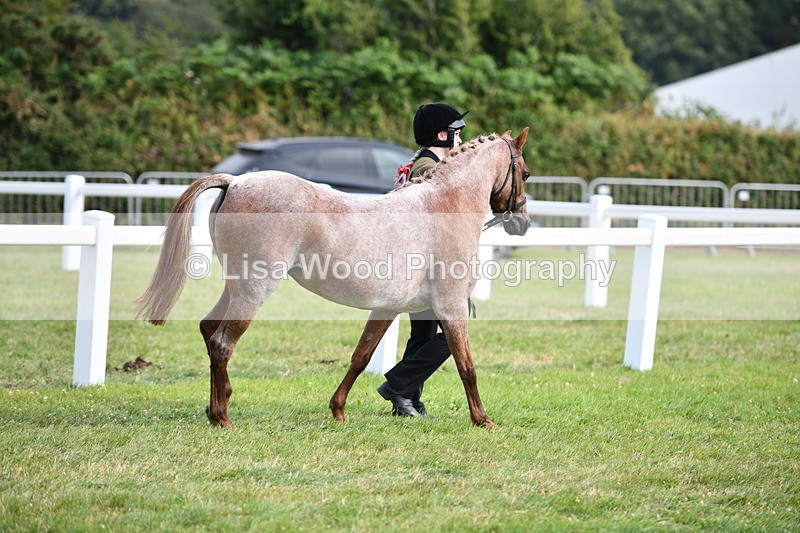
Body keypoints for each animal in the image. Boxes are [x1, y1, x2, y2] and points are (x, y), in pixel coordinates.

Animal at [135, 128, 531, 428]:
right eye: (525, 174)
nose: (523, 222)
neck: (442, 206)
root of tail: (234, 182)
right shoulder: (451, 307)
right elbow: (466, 364)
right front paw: (483, 420)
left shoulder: (388, 308)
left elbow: (362, 356)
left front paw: (338, 410)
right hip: (254, 289)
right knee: (222, 342)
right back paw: (222, 417)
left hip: (235, 287)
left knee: (208, 328)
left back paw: (217, 406)